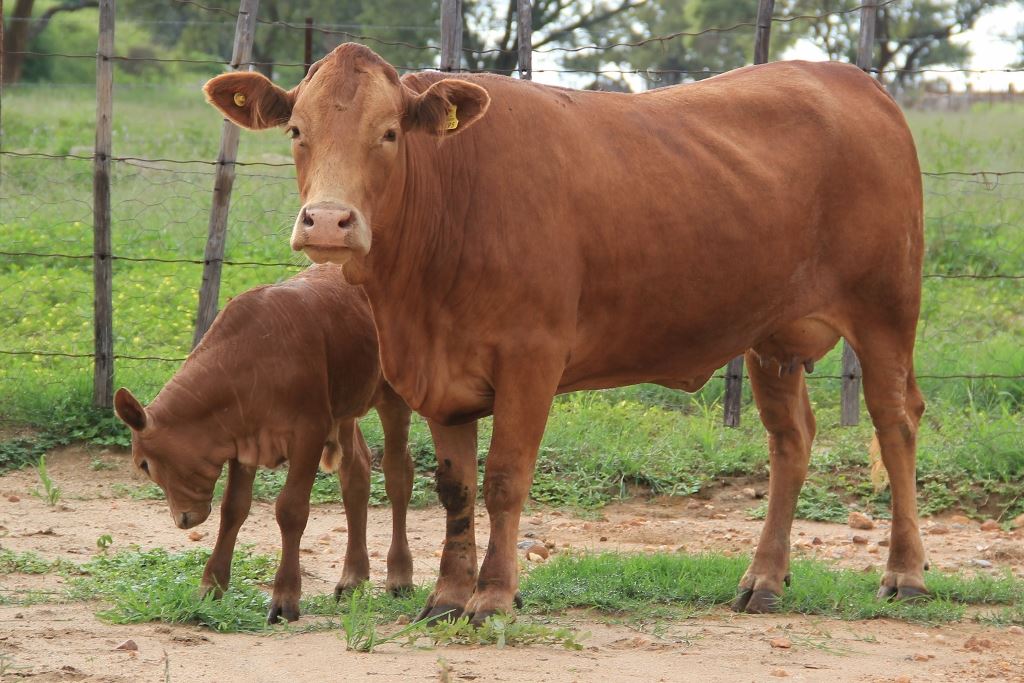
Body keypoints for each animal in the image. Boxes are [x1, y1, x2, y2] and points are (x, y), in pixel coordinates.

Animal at [113, 266, 411, 626]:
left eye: (144, 464)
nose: (183, 519)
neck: (251, 358)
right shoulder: (244, 442)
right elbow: (233, 509)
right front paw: (211, 586)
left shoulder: (309, 433)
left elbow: (291, 510)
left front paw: (284, 597)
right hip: (346, 406)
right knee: (356, 474)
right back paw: (352, 578)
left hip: (393, 395)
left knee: (397, 475)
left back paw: (400, 577)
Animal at [205, 45, 929, 626]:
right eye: (297, 130)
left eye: (388, 133)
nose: (328, 222)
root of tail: (850, 80)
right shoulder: (441, 375)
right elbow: (456, 487)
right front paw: (446, 595)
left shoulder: (532, 357)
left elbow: (505, 478)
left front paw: (494, 596)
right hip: (773, 336)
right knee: (791, 440)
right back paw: (765, 578)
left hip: (885, 310)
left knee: (895, 423)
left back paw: (906, 572)